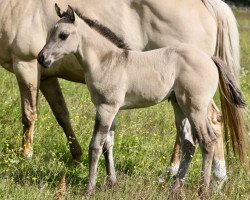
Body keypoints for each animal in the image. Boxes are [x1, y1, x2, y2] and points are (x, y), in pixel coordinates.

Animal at [37, 5, 246, 195]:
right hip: (179, 106)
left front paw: (90, 189)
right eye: (49, 33)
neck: (108, 61)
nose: (41, 58)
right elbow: (108, 144)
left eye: (63, 35)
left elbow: (95, 145)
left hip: (195, 107)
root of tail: (210, 58)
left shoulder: (106, 107)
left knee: (207, 140)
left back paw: (203, 190)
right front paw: (112, 183)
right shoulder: (112, 109)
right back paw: (175, 188)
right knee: (189, 143)